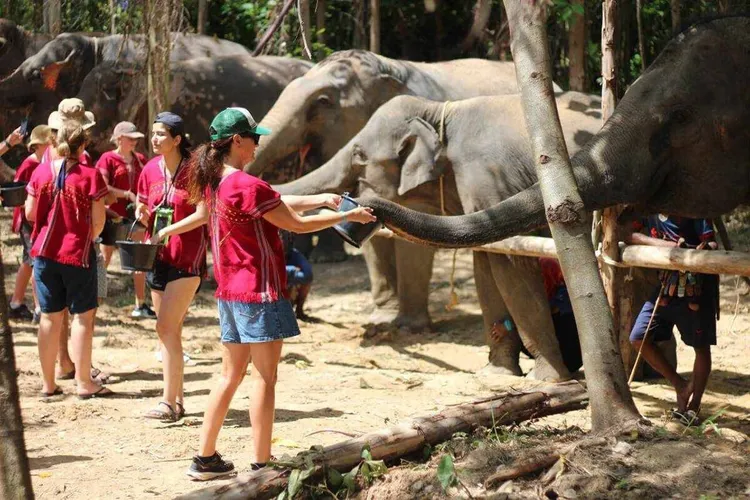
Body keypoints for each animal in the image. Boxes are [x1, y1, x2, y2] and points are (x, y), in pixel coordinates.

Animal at [275, 91, 602, 379]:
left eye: (358, 155)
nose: (350, 200)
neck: (440, 112)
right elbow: (487, 261)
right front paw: (496, 374)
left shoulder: (491, 177)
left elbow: (512, 262)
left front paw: (548, 380)